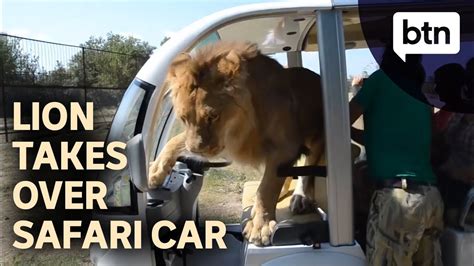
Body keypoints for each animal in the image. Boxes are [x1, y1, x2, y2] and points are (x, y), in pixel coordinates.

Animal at [149, 41, 326, 245]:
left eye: (213, 116)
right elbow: (176, 140)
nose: (196, 151)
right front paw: (155, 171)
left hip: (318, 137)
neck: (244, 124)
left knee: (307, 168)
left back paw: (299, 198)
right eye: (184, 118)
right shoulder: (230, 143)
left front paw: (260, 227)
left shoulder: (285, 146)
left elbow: (266, 188)